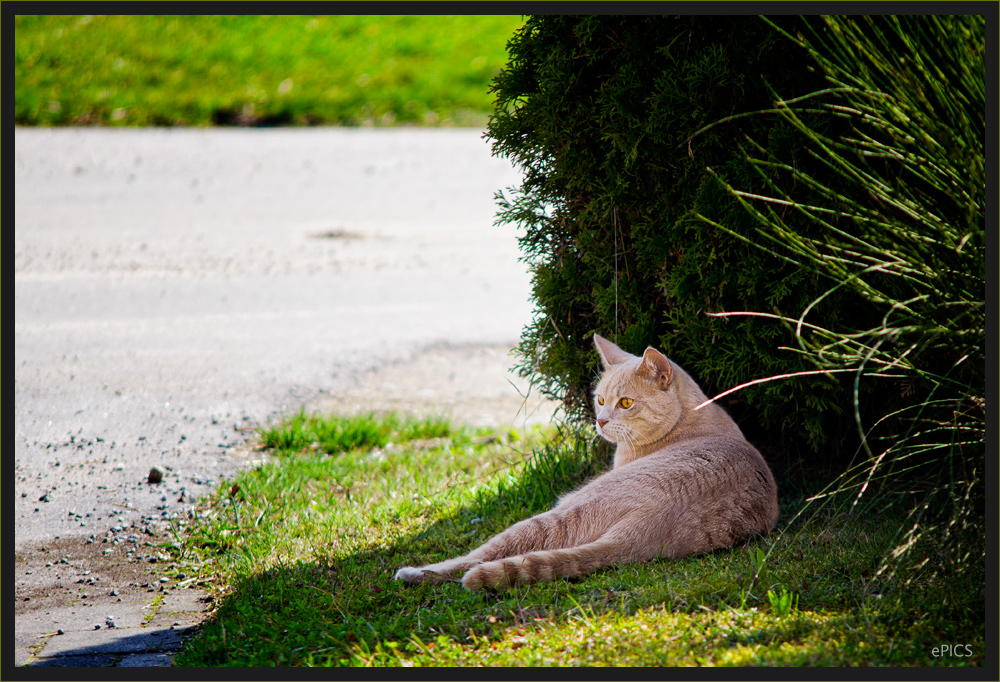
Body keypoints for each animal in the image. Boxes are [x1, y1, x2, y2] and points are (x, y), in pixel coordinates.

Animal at [394, 332, 776, 588]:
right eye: (601, 399)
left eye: (625, 403)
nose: (601, 421)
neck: (687, 421)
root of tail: (642, 533)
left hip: (560, 512)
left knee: (475, 557)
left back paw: (413, 573)